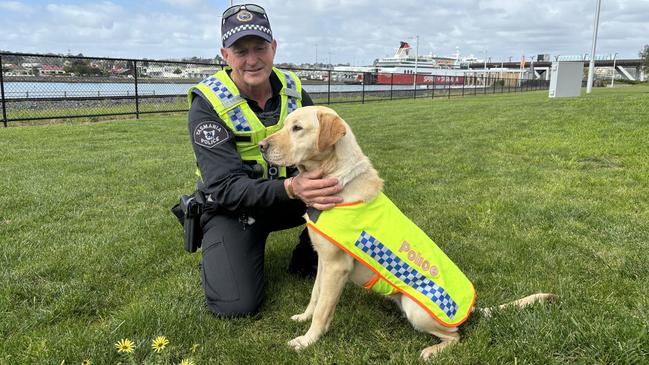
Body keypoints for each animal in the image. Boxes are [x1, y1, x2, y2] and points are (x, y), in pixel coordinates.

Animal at [260, 105, 556, 358]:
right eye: (284, 124)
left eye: (298, 128)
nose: (262, 146)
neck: (339, 177)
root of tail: (472, 309)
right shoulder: (323, 260)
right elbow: (315, 295)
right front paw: (303, 318)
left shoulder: (337, 266)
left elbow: (324, 309)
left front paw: (307, 340)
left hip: (418, 311)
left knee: (456, 336)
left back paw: (433, 351)